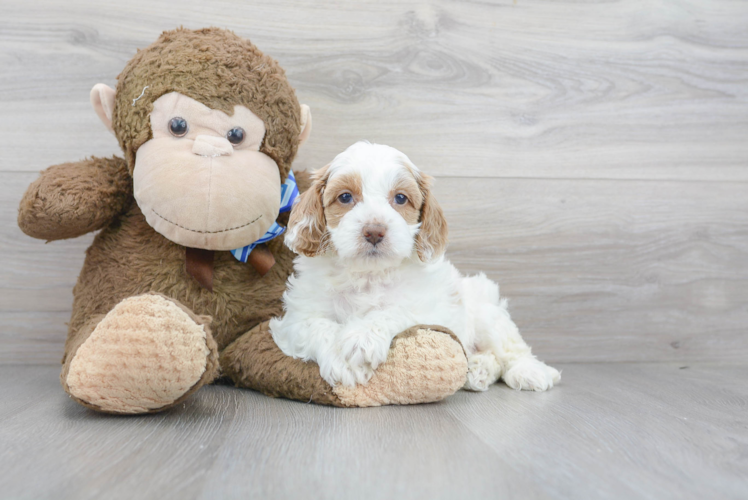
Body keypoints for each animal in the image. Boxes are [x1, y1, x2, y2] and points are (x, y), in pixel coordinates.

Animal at [270, 141, 560, 390]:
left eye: (400, 199)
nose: (374, 231)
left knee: (511, 350)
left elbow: (393, 310)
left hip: (488, 316)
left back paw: (529, 371)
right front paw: (343, 362)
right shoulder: (295, 320)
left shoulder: (427, 309)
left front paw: (362, 337)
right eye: (344, 197)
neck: (368, 274)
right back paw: (478, 370)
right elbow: (318, 327)